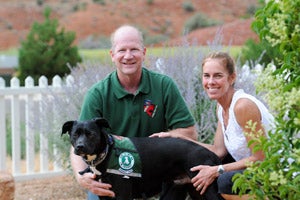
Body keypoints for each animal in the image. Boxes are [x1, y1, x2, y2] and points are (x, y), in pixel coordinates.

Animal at [61, 118, 223, 199]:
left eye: (91, 134)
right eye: (75, 134)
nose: (80, 147)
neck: (107, 152)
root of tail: (210, 153)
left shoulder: (122, 195)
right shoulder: (104, 194)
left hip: (207, 189)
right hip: (197, 190)